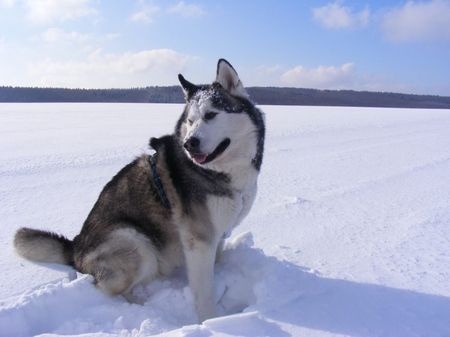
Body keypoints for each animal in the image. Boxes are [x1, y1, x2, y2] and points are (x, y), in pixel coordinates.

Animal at [14, 59, 266, 322]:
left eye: (211, 115)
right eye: (190, 121)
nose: (190, 143)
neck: (220, 173)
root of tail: (76, 247)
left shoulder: (218, 235)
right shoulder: (199, 240)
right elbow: (204, 289)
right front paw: (212, 320)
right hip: (136, 244)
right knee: (104, 288)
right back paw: (146, 307)